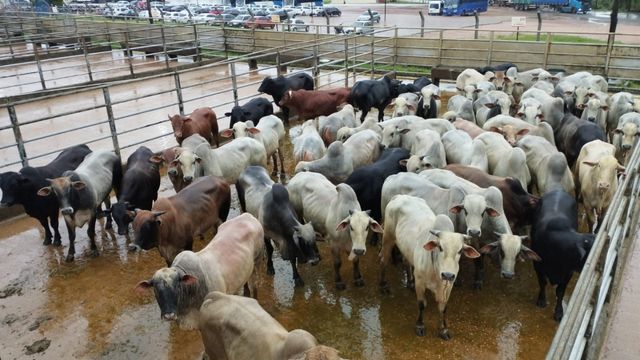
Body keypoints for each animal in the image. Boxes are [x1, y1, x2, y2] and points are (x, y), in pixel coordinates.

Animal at [528, 190, 596, 322]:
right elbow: (542, 283)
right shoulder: (537, 266)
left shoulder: (568, 273)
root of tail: (558, 191)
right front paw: (541, 300)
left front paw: (559, 312)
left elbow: (560, 292)